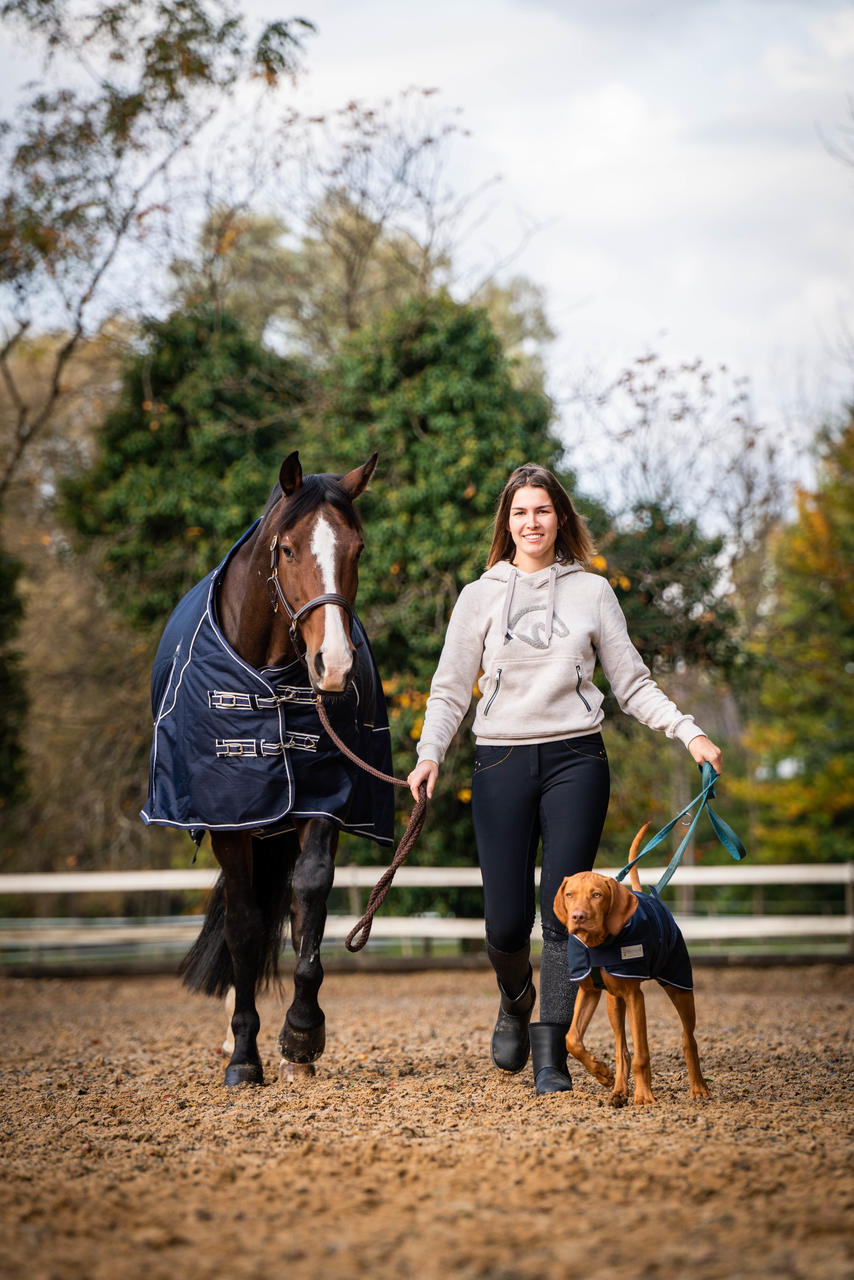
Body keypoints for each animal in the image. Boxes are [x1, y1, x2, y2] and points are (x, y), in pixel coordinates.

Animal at [142, 450, 391, 1080]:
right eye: (289, 550)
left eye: (358, 548)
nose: (334, 666)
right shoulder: (231, 818)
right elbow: (244, 926)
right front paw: (244, 1055)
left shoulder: (321, 803)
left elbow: (310, 900)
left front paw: (301, 1036)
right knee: (246, 921)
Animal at [550, 824, 711, 1105]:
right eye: (569, 895)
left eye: (596, 895)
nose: (578, 916)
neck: (597, 945)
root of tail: (650, 897)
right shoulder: (589, 991)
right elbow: (572, 1040)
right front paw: (602, 1073)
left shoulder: (636, 996)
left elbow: (642, 1053)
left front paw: (644, 1096)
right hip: (614, 1001)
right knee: (621, 1047)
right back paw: (617, 1090)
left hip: (679, 985)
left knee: (688, 1037)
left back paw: (698, 1087)